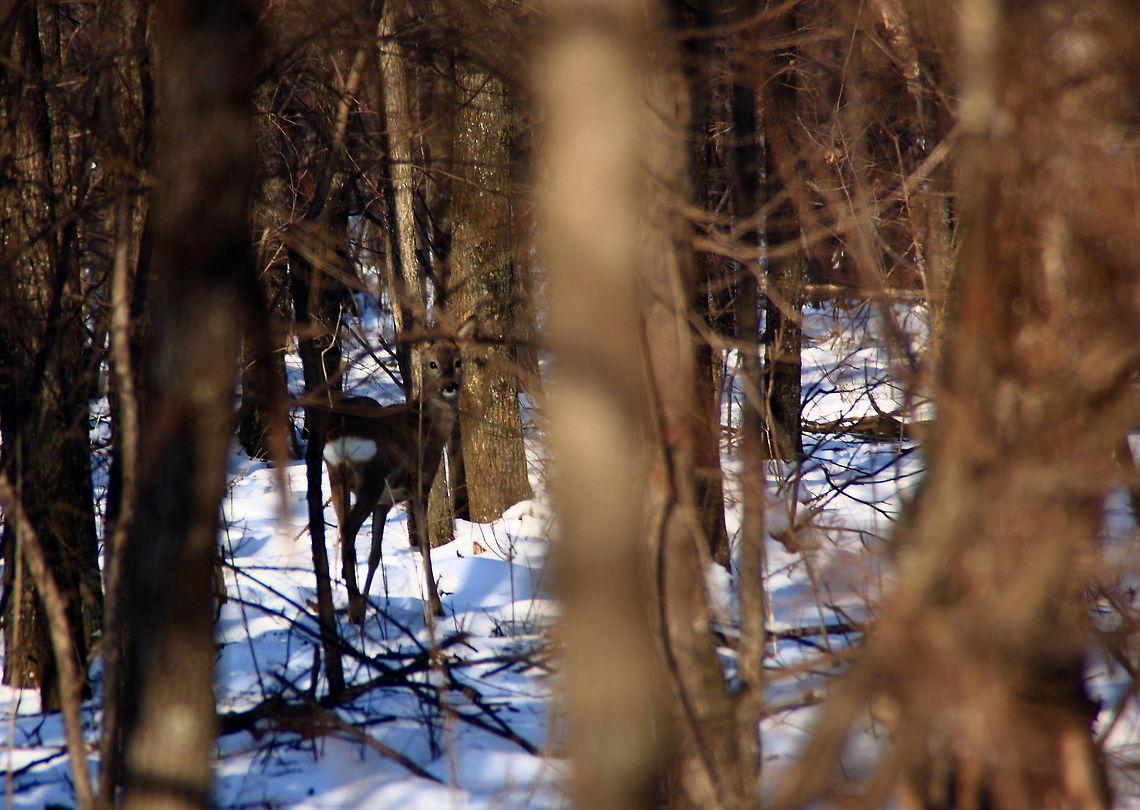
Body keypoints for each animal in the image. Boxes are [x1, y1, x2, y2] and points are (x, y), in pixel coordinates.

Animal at [322, 318, 476, 624]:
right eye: (432, 364)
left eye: (457, 361)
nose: (450, 386)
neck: (428, 428)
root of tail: (342, 431)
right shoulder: (420, 484)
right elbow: (425, 545)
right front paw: (436, 607)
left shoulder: (385, 502)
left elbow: (375, 553)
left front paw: (367, 604)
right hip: (369, 482)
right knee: (348, 532)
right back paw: (351, 603)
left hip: (336, 479)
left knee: (341, 531)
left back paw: (350, 606)